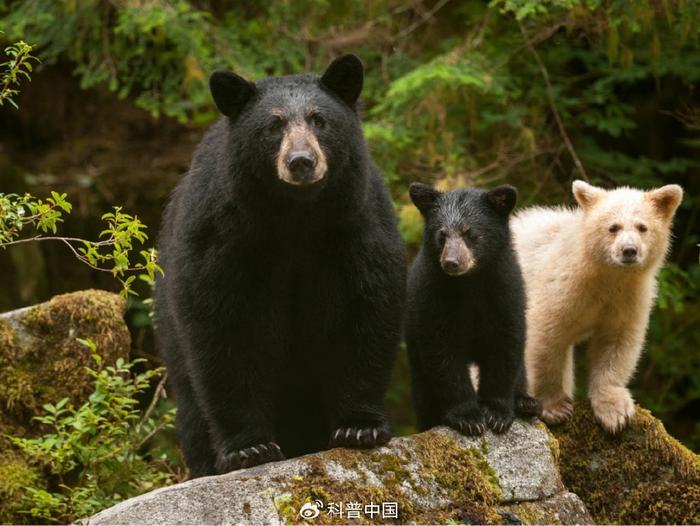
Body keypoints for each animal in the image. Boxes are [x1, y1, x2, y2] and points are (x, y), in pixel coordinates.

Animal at [153, 55, 404, 480]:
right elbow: (223, 329)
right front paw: (248, 448)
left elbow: (365, 312)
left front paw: (360, 427)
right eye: (273, 125)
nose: (301, 162)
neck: (295, 217)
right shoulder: (223, 237)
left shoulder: (356, 226)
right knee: (190, 403)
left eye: (319, 119)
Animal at [404, 186, 540, 438]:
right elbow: (443, 354)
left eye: (470, 233)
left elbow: (505, 346)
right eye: (442, 234)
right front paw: (468, 418)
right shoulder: (432, 297)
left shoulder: (505, 291)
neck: (470, 283)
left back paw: (526, 403)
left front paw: (496, 413)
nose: (451, 262)